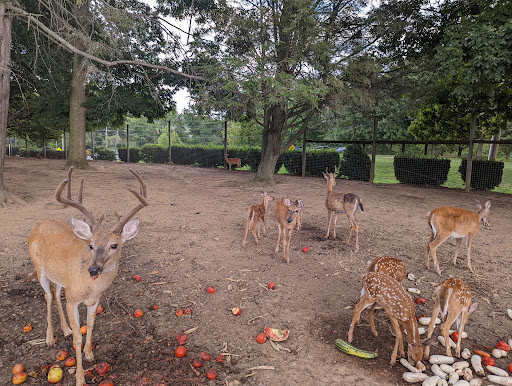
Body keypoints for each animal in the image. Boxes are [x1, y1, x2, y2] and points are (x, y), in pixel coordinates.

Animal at [28, 166, 147, 386]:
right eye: (91, 245)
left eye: (114, 245)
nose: (93, 270)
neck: (89, 287)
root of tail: (39, 225)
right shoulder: (73, 300)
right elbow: (77, 338)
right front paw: (80, 378)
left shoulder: (94, 300)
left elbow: (90, 325)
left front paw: (90, 353)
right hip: (39, 267)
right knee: (47, 296)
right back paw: (49, 338)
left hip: (60, 277)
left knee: (56, 292)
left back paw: (65, 329)